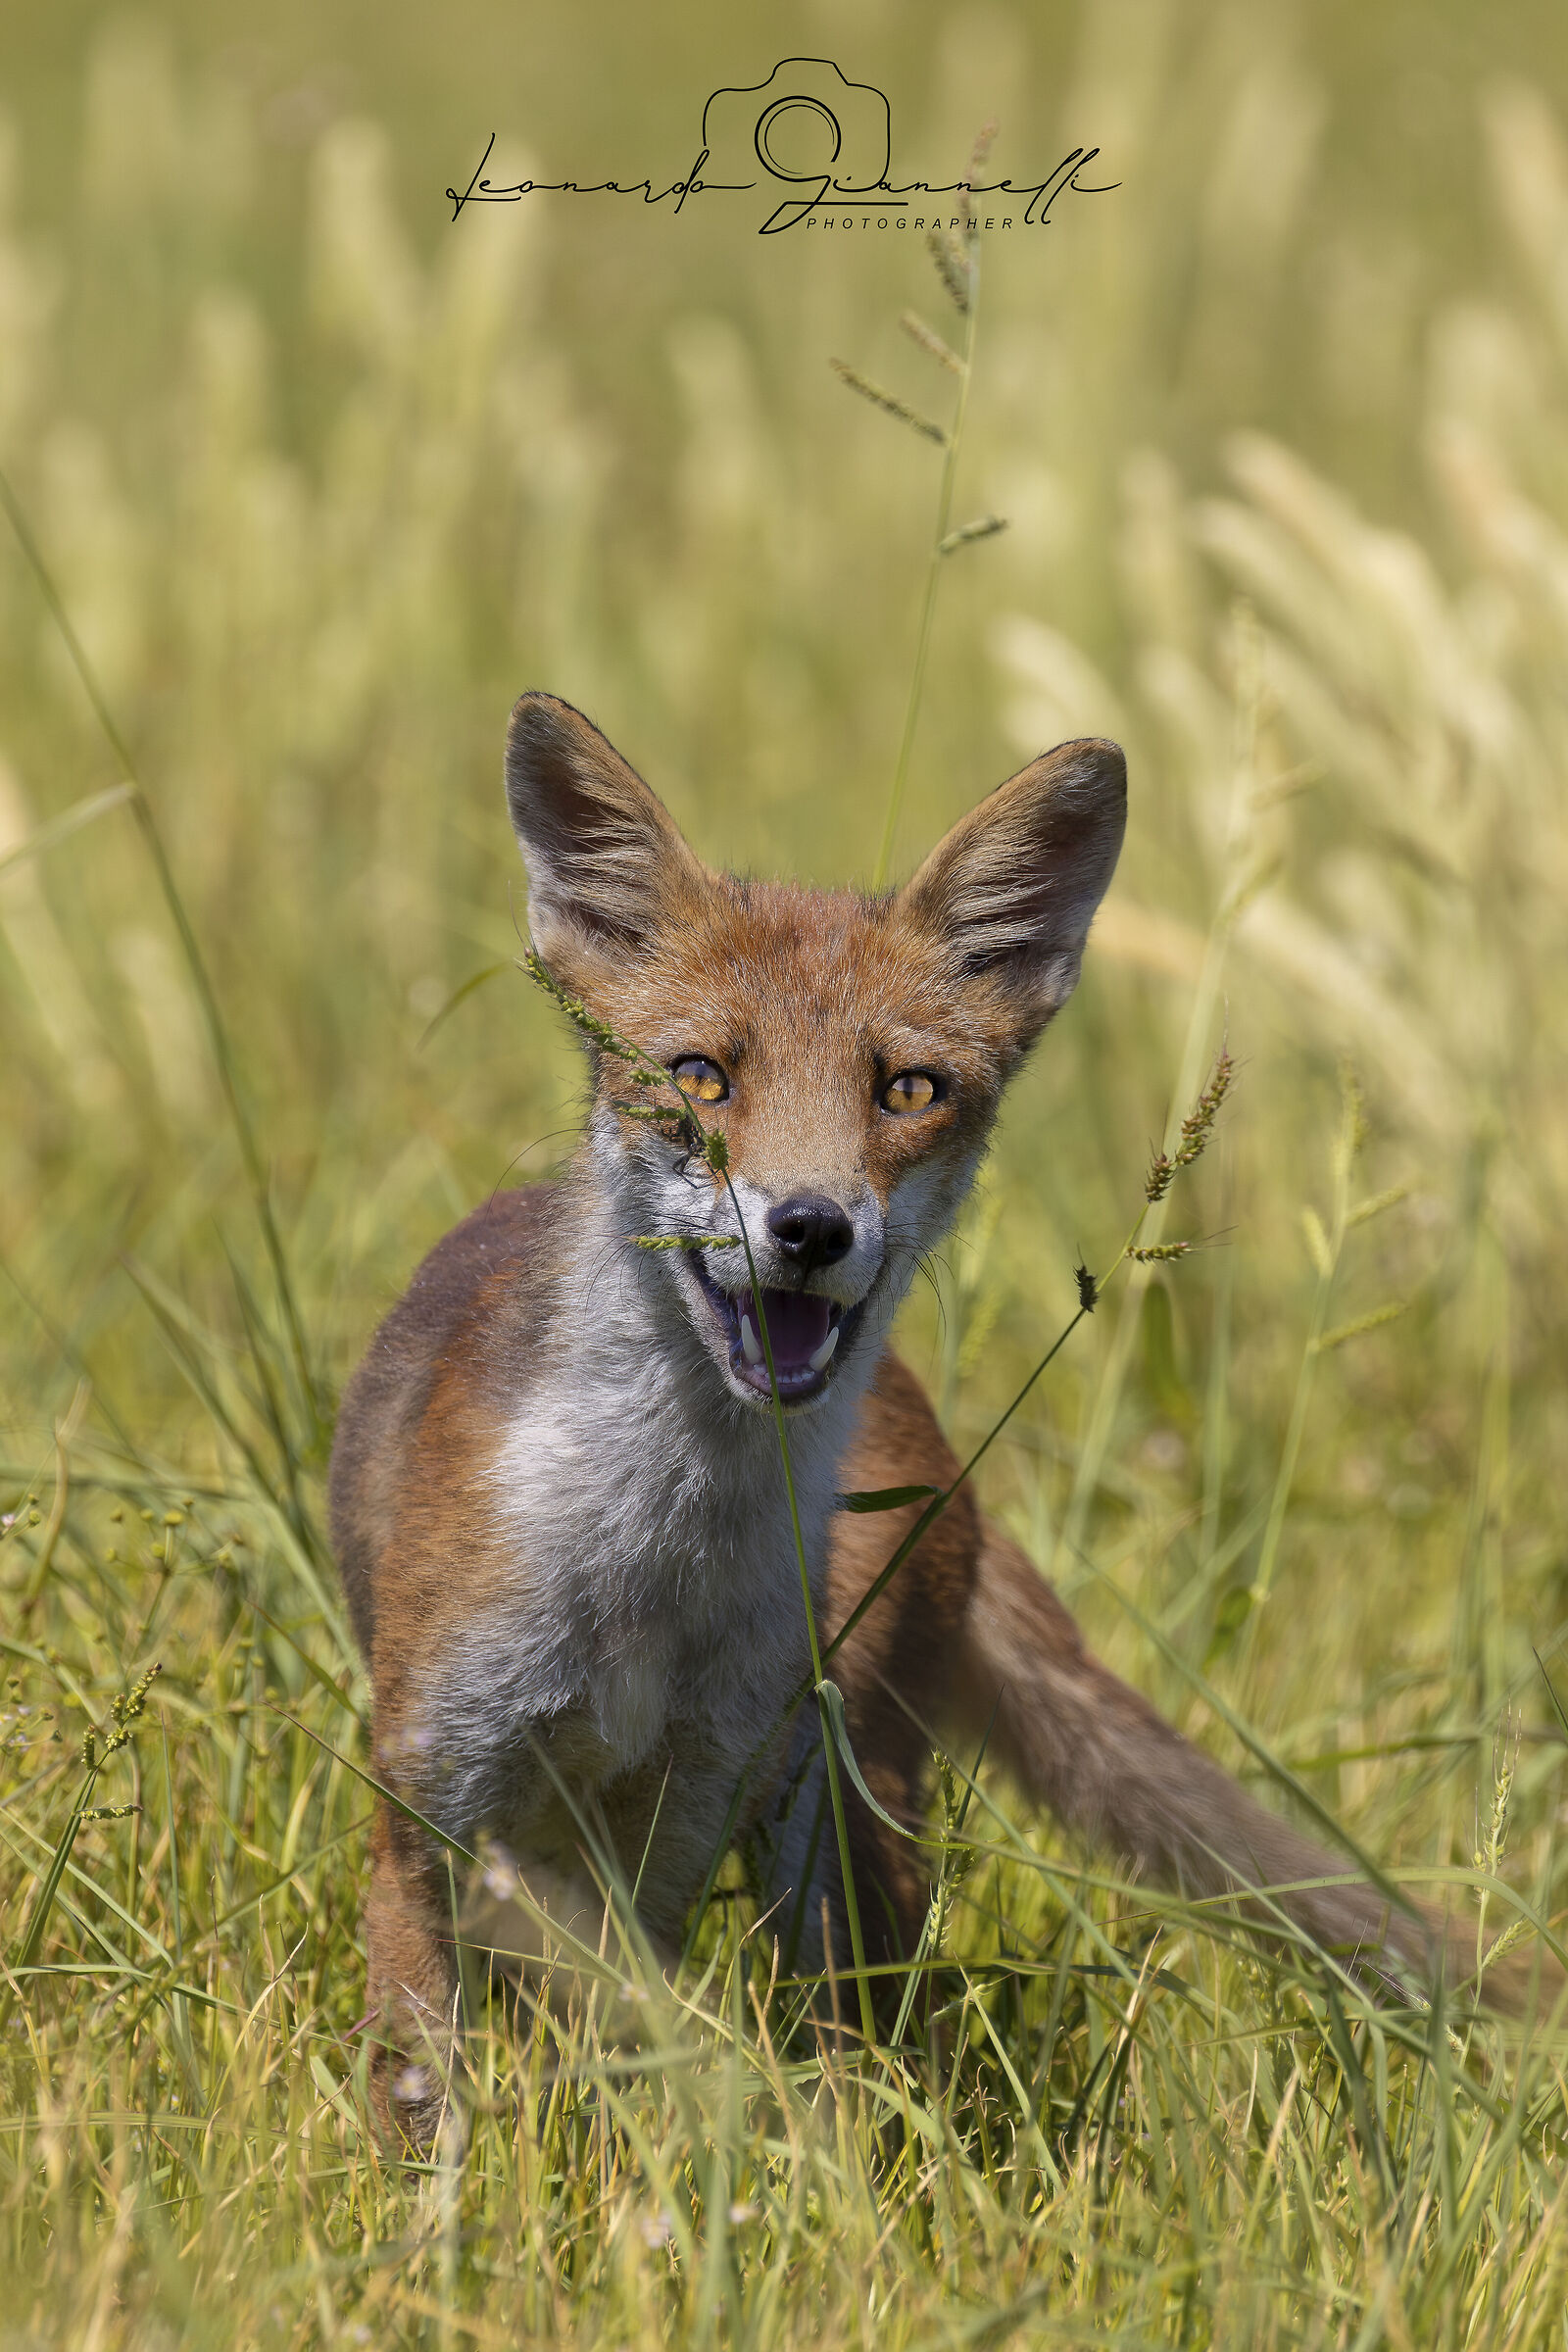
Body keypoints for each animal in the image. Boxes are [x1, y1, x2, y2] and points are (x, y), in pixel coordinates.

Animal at [330, 690, 1513, 2151]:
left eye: (907, 1090)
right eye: (701, 1078)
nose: (809, 1227)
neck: (648, 1567)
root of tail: (935, 1447)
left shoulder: (673, 1826)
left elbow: (618, 2065)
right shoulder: (427, 1800)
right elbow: (421, 2092)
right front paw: (437, 2205)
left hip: (836, 1812)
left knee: (858, 2040)